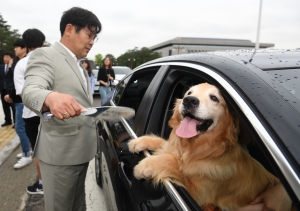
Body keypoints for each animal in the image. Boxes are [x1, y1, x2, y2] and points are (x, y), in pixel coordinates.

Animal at [127, 83, 280, 211]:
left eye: (214, 98)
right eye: (189, 92)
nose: (189, 100)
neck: (196, 147)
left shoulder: (197, 194)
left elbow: (173, 162)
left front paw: (145, 165)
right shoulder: (173, 147)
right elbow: (162, 144)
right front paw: (138, 142)